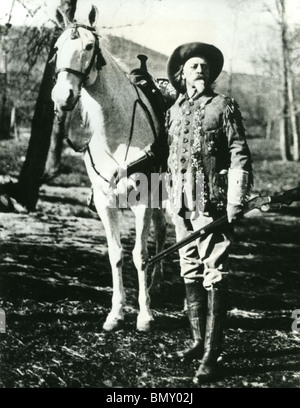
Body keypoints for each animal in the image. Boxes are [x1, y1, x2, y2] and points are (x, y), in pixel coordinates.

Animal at [51, 5, 166, 332]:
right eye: (56, 48)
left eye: (90, 46)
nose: (62, 97)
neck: (116, 135)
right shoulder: (105, 203)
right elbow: (116, 254)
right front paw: (116, 313)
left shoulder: (142, 203)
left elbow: (139, 254)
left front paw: (144, 315)